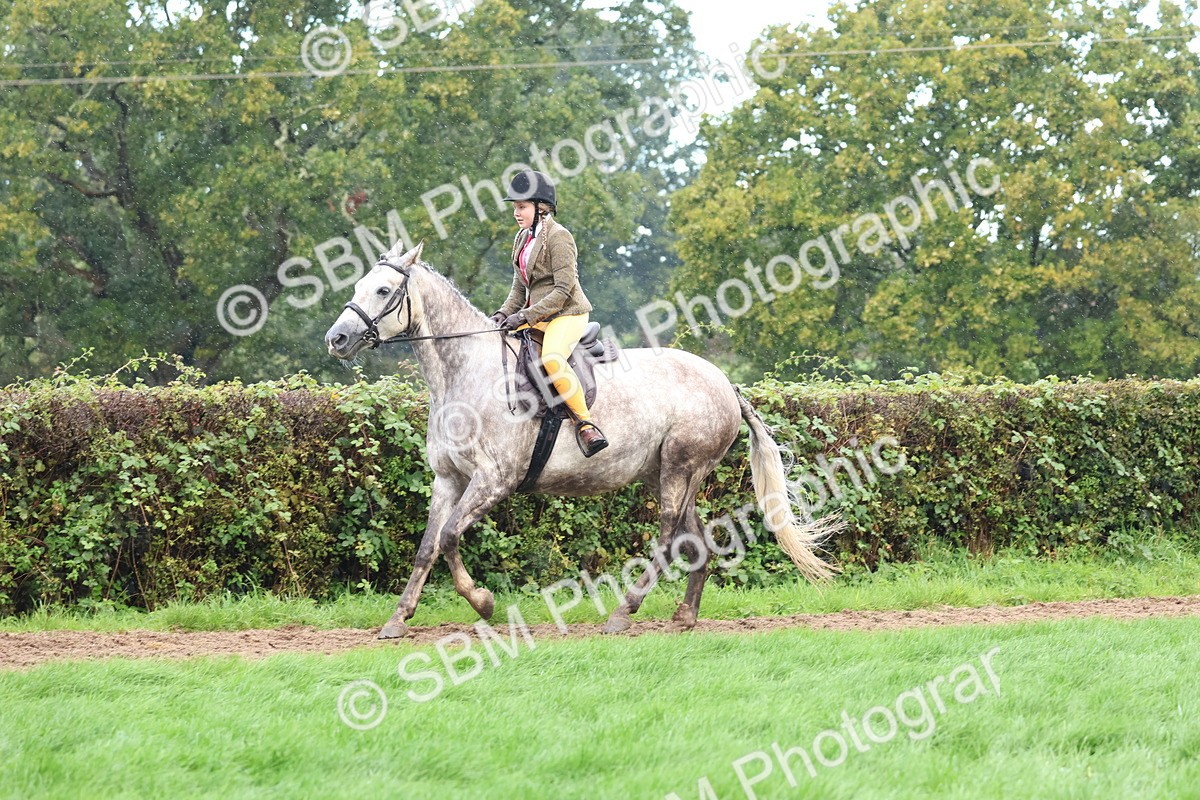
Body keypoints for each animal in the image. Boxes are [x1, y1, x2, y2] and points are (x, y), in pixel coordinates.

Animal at [324, 241, 843, 639]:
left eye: (384, 290)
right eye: (357, 288)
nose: (337, 339)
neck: (466, 373)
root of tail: (724, 382)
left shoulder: (494, 481)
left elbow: (450, 536)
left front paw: (484, 603)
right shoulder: (448, 480)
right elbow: (428, 546)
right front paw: (398, 620)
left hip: (681, 468)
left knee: (668, 537)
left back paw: (622, 613)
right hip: (668, 473)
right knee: (695, 540)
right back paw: (684, 617)